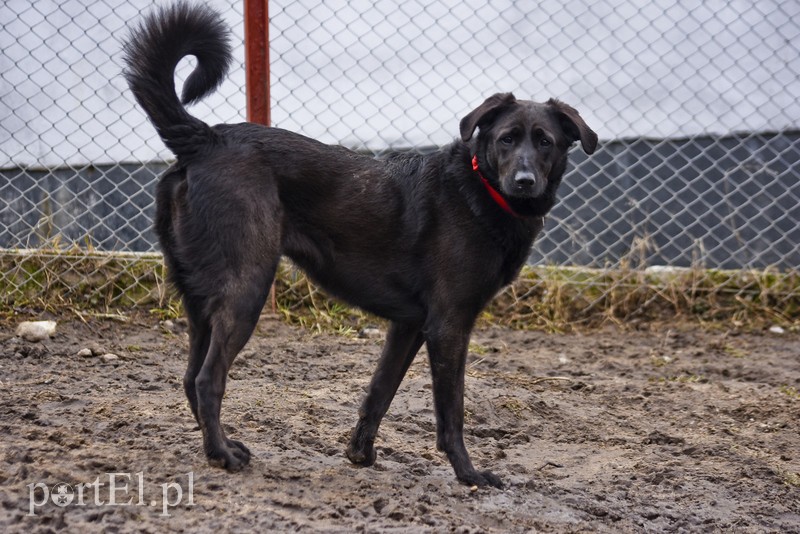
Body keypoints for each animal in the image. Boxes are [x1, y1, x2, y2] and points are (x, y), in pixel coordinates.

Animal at [123, 3, 592, 490]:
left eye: (545, 142)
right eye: (507, 139)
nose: (524, 181)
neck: (479, 189)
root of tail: (205, 138)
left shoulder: (409, 326)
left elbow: (379, 392)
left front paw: (359, 454)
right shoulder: (449, 326)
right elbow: (452, 412)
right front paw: (469, 473)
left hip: (200, 301)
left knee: (189, 376)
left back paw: (221, 445)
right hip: (246, 289)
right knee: (208, 379)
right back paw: (221, 454)